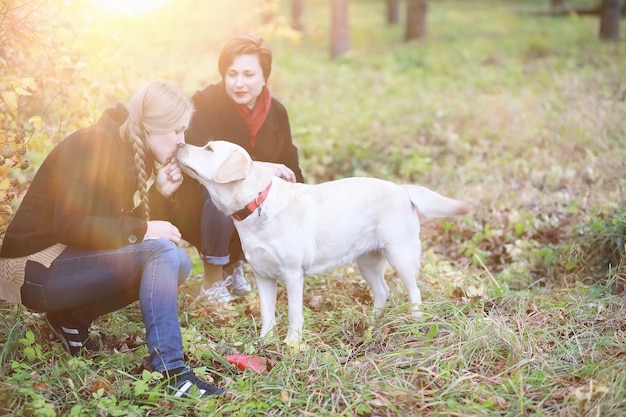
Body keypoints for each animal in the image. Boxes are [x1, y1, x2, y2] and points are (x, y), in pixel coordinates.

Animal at [176, 141, 468, 342]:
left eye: (209, 148)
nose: (179, 144)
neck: (256, 204)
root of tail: (402, 188)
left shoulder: (292, 274)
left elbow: (294, 312)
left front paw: (292, 344)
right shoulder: (263, 275)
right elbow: (267, 313)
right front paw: (263, 342)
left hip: (400, 255)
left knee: (414, 291)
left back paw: (416, 322)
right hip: (367, 262)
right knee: (383, 291)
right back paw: (372, 323)